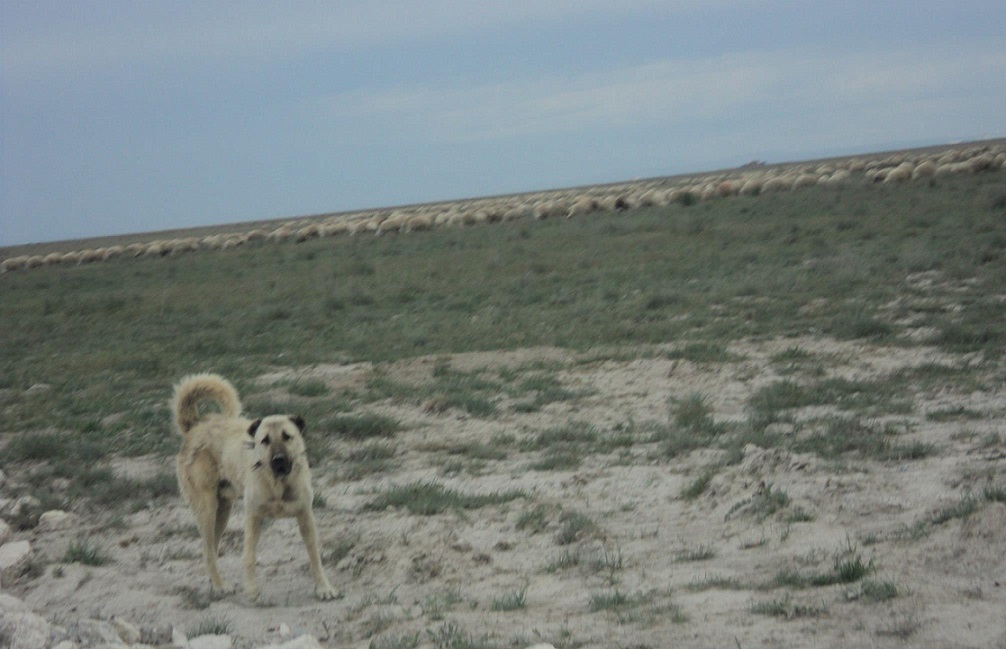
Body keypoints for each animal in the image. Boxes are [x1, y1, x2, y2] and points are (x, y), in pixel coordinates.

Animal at [173, 372, 338, 599]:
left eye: (287, 436)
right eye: (264, 440)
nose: (278, 460)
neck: (278, 483)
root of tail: (195, 425)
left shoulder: (305, 516)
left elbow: (315, 556)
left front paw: (323, 587)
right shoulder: (253, 517)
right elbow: (249, 556)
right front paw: (251, 589)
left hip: (222, 511)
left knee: (212, 548)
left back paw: (215, 583)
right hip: (207, 509)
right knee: (207, 550)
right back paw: (220, 585)